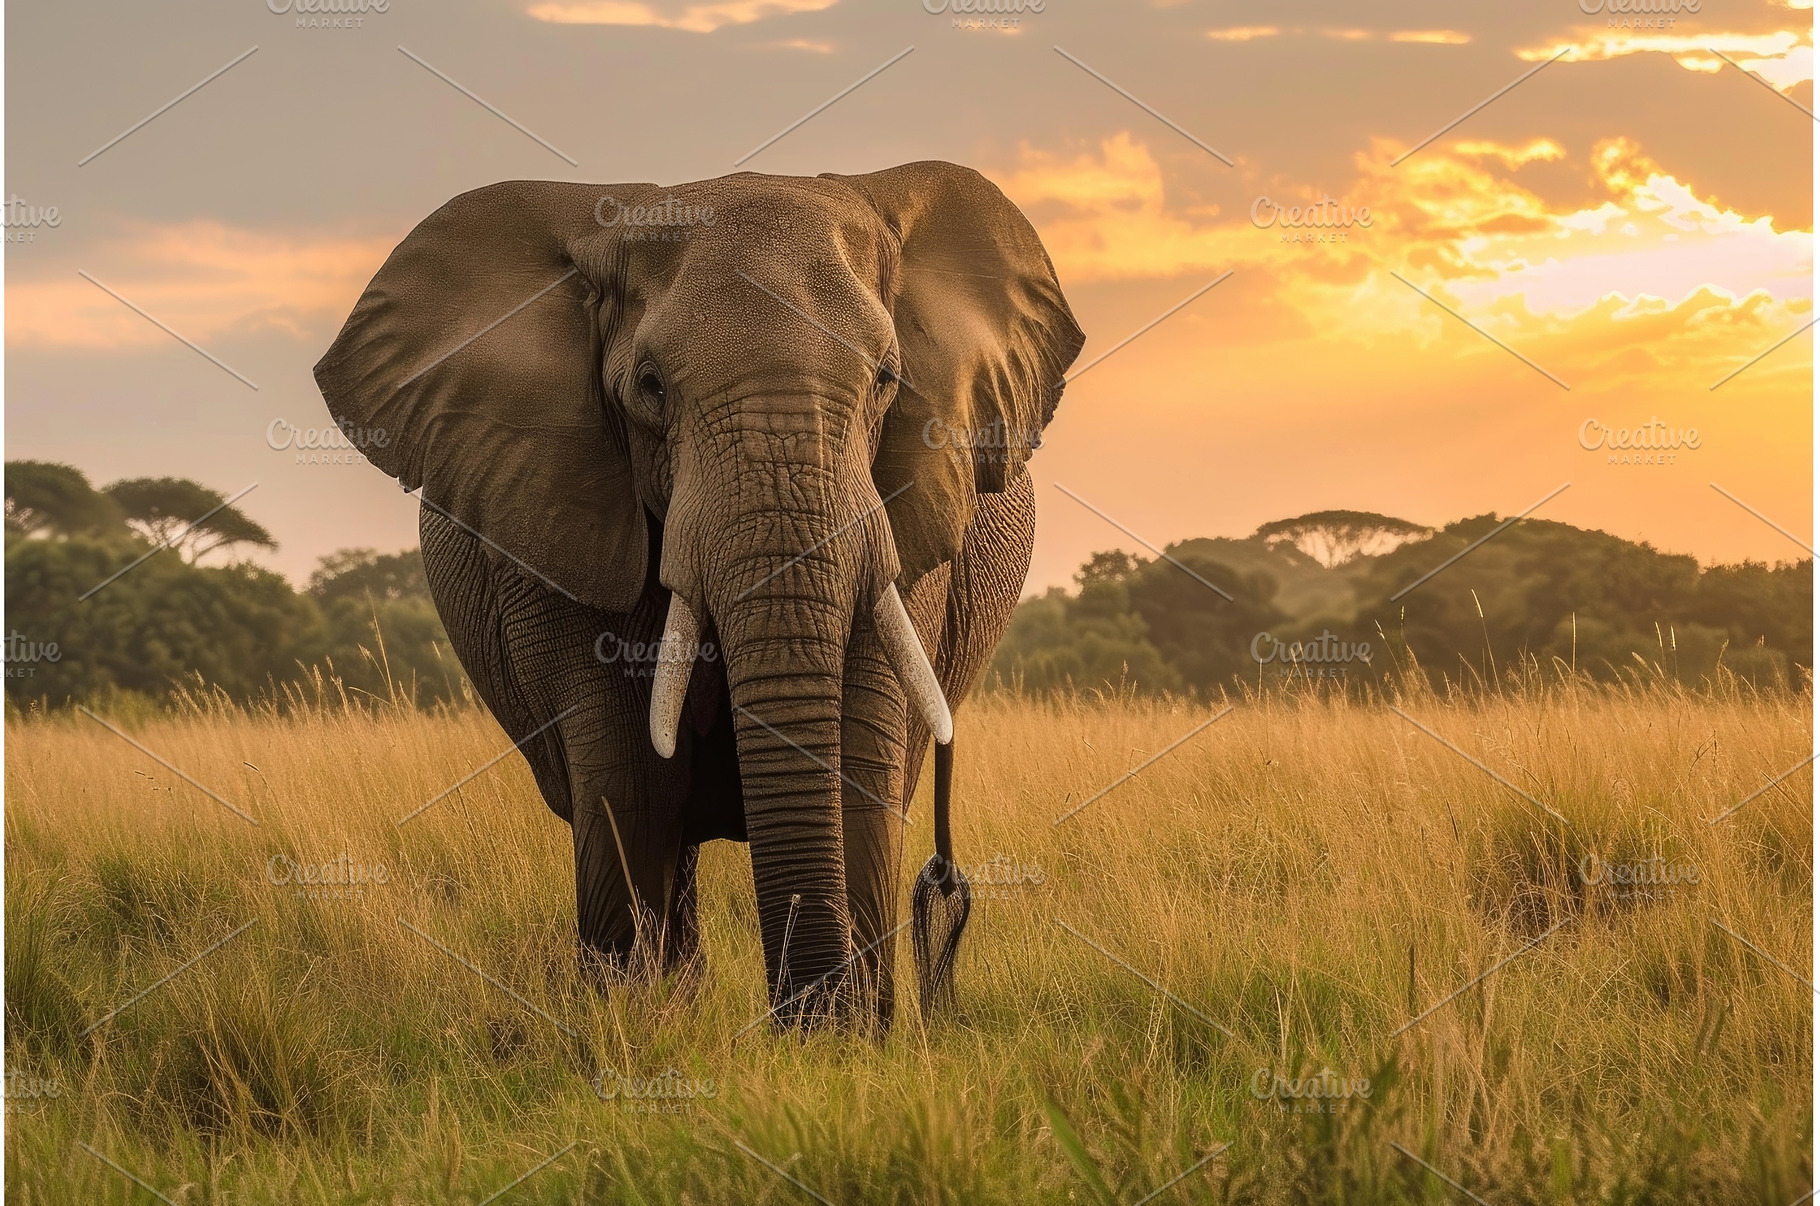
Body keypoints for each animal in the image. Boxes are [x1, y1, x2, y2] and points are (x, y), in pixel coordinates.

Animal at [314, 162, 1084, 1030]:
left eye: (887, 379)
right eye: (649, 387)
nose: (804, 1024)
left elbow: (859, 759)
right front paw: (633, 1030)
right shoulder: (554, 511)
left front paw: (854, 1038)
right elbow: (627, 774)